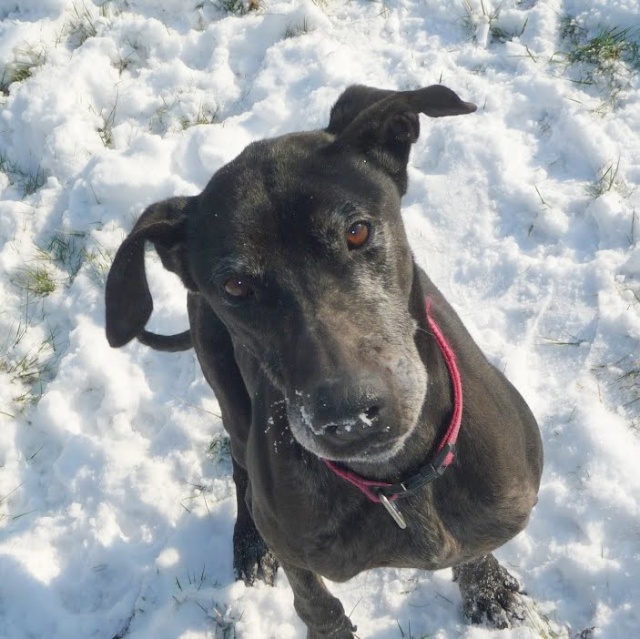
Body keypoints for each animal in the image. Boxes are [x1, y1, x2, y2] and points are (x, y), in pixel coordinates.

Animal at [106, 86, 544, 639]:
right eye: (235, 286)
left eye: (357, 233)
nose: (348, 414)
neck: (396, 480)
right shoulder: (297, 550)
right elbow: (315, 603)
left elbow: (473, 547)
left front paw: (488, 587)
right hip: (228, 396)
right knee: (239, 466)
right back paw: (249, 544)